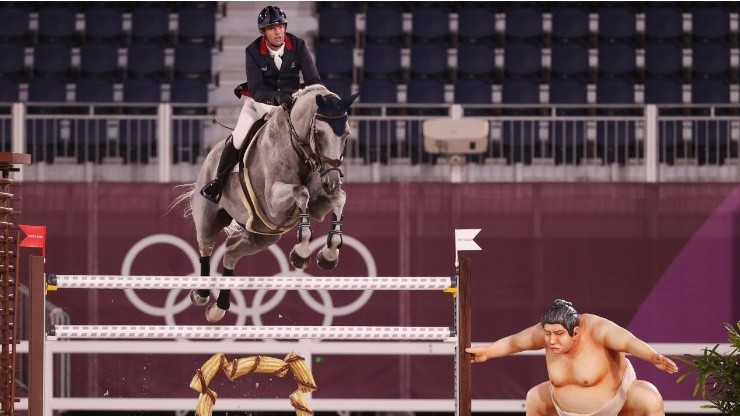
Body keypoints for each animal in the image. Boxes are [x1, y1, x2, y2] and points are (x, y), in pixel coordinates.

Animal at [174, 84, 358, 322]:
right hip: (209, 218)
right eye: (318, 133)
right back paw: (202, 294)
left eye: (346, 134)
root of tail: (210, 155)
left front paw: (329, 254)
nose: (332, 182)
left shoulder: (317, 205)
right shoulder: (273, 203)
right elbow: (301, 191)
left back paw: (219, 307)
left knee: (231, 249)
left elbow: (338, 199)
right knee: (206, 246)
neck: (298, 148)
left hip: (264, 235)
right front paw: (302, 252)